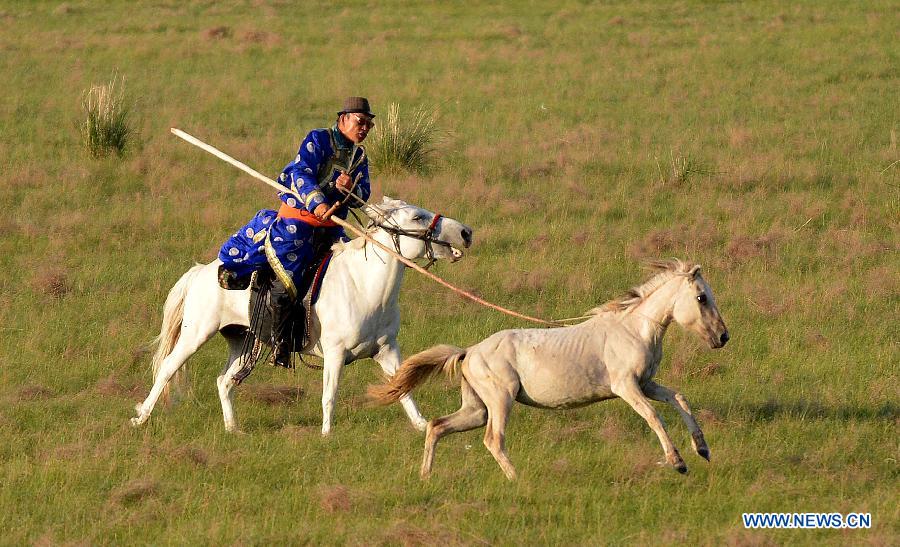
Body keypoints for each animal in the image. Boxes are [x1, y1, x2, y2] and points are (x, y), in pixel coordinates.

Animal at [133, 198, 474, 436]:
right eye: (417, 217)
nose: (465, 232)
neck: (364, 286)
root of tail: (201, 271)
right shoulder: (336, 354)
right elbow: (329, 395)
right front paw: (326, 434)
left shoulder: (387, 350)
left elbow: (403, 386)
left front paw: (422, 425)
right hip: (196, 333)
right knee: (167, 368)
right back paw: (140, 418)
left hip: (243, 341)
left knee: (224, 381)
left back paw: (233, 429)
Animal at [370, 262, 728, 480]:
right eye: (701, 297)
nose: (723, 337)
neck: (633, 330)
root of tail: (469, 352)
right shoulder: (626, 387)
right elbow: (655, 417)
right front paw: (678, 462)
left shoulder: (647, 383)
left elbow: (678, 398)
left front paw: (703, 449)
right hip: (500, 401)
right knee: (492, 440)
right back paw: (516, 479)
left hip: (477, 409)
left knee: (437, 427)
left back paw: (426, 476)